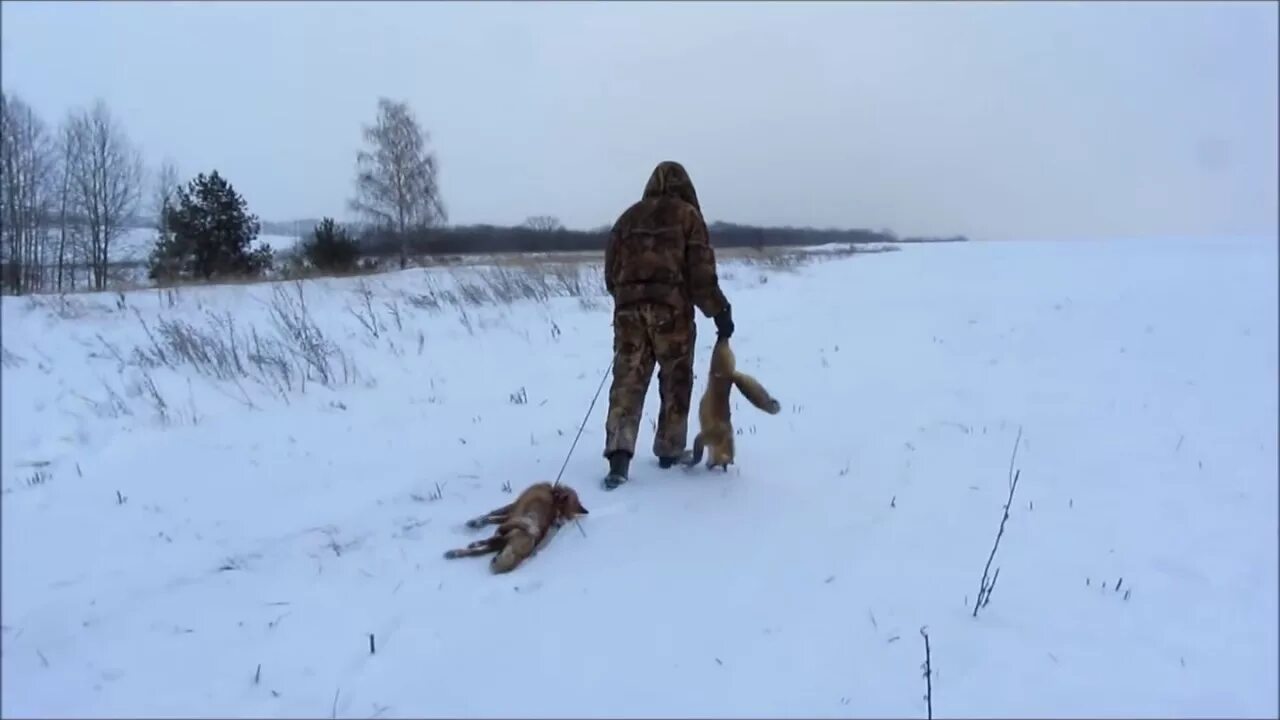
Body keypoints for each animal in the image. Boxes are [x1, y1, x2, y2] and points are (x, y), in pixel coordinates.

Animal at [445, 479, 588, 573]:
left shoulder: (512, 508)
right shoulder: (512, 512)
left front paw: (476, 522)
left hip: (510, 530)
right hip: (503, 541)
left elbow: (491, 515)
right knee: (486, 547)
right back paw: (457, 552)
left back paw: (462, 549)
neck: (553, 494)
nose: (558, 523)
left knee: (490, 541)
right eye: (562, 514)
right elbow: (493, 516)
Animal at [680, 333, 778, 468]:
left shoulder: (706, 439)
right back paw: (723, 333)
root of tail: (731, 376)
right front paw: (689, 463)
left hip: (719, 365)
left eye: (721, 466)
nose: (711, 467)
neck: (724, 440)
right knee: (721, 346)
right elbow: (697, 455)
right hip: (718, 363)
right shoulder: (705, 437)